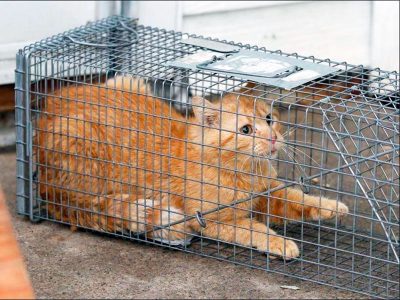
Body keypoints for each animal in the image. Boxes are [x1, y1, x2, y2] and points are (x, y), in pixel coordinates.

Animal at [36, 76, 348, 258]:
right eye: (246, 130)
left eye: (269, 119)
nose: (272, 138)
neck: (243, 172)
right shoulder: (215, 220)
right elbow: (255, 229)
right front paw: (280, 243)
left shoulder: (268, 196)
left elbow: (299, 200)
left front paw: (331, 207)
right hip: (82, 156)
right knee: (96, 207)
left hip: (127, 81)